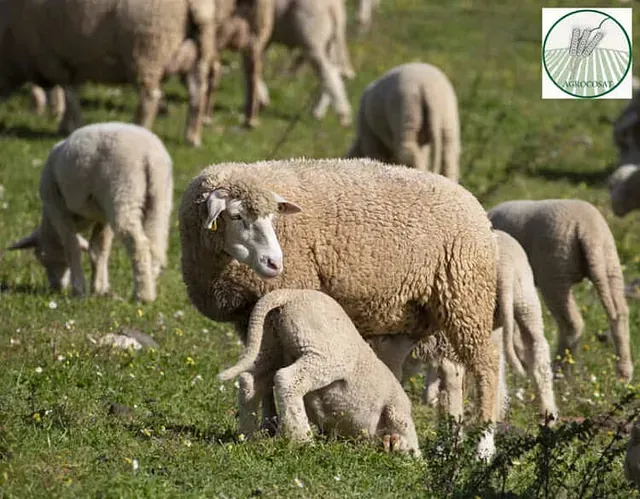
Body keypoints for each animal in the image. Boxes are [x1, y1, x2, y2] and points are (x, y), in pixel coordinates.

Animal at [0, 0, 215, 147]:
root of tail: (197, 5)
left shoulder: (55, 60)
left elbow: (69, 95)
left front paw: (71, 126)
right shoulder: (69, 62)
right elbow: (70, 95)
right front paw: (65, 124)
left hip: (148, 49)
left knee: (149, 97)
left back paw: (140, 130)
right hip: (195, 55)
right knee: (197, 94)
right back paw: (192, 137)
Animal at [7, 122, 173, 303]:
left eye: (41, 257)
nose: (56, 288)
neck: (49, 223)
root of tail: (149, 155)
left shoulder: (58, 210)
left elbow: (72, 247)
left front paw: (79, 289)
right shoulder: (103, 216)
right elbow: (98, 249)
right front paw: (100, 289)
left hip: (122, 191)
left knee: (139, 244)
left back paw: (143, 295)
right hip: (159, 199)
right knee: (155, 241)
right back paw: (150, 281)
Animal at [217, 288, 421, 456]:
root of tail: (289, 294)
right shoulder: (397, 409)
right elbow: (407, 437)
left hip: (270, 344)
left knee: (250, 380)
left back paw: (247, 434)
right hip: (322, 354)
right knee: (287, 379)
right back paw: (302, 439)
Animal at [488, 199, 633, 383]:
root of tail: (588, 230)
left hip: (554, 271)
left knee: (572, 323)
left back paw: (560, 372)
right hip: (609, 260)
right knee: (620, 313)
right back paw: (623, 374)